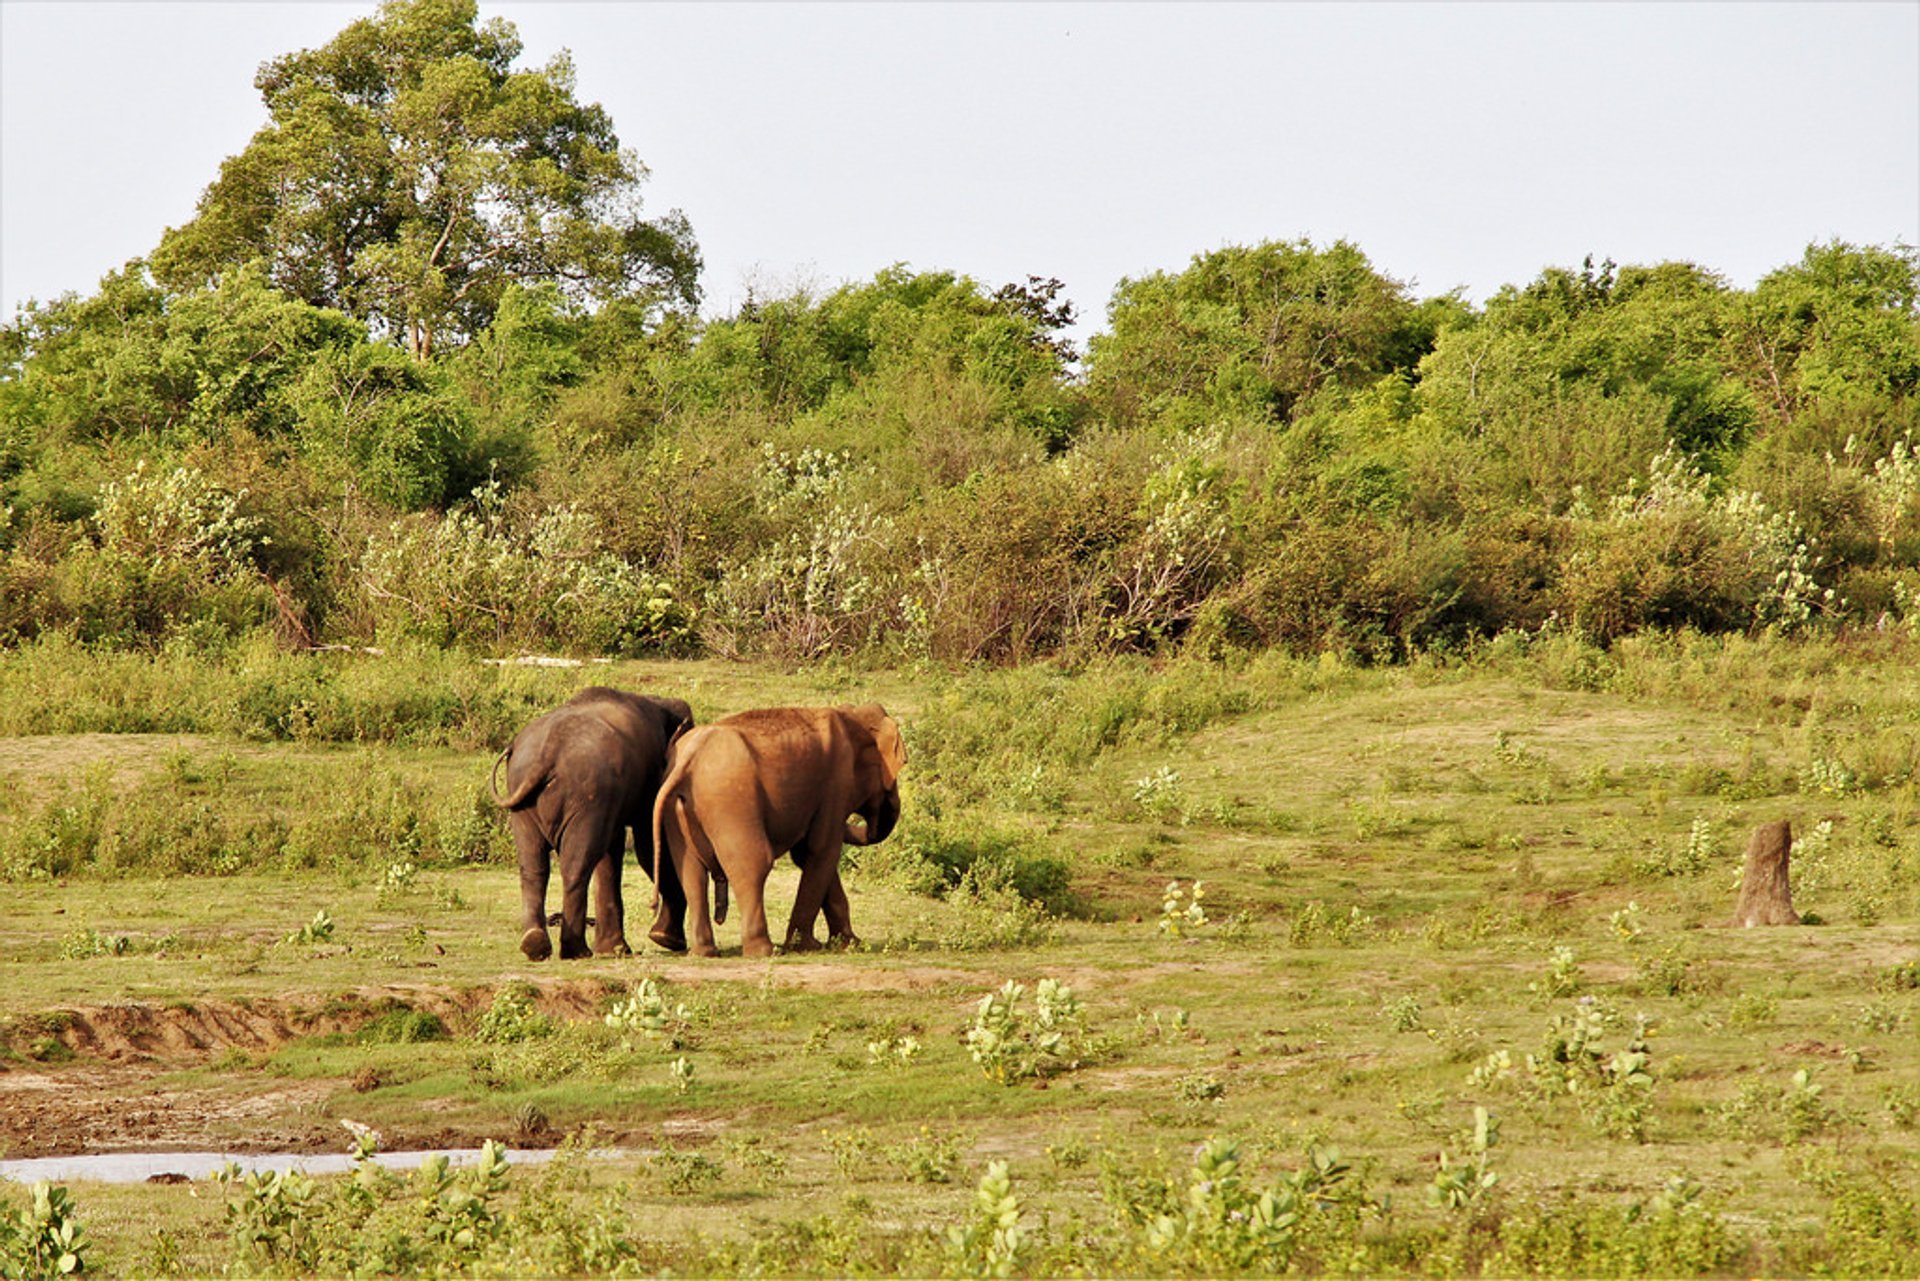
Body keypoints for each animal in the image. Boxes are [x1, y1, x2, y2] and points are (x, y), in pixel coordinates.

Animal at [491, 691, 695, 960]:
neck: (659, 701)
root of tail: (547, 753)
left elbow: (616, 849)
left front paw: (617, 949)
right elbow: (647, 846)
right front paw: (666, 940)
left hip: (525, 798)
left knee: (534, 864)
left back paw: (535, 945)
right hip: (586, 794)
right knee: (576, 864)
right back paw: (577, 951)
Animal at [652, 706, 906, 956]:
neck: (852, 714)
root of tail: (688, 759)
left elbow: (807, 855)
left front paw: (850, 944)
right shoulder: (837, 784)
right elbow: (823, 850)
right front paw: (806, 947)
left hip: (679, 809)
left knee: (691, 873)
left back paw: (703, 953)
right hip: (731, 801)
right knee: (752, 864)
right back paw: (765, 951)